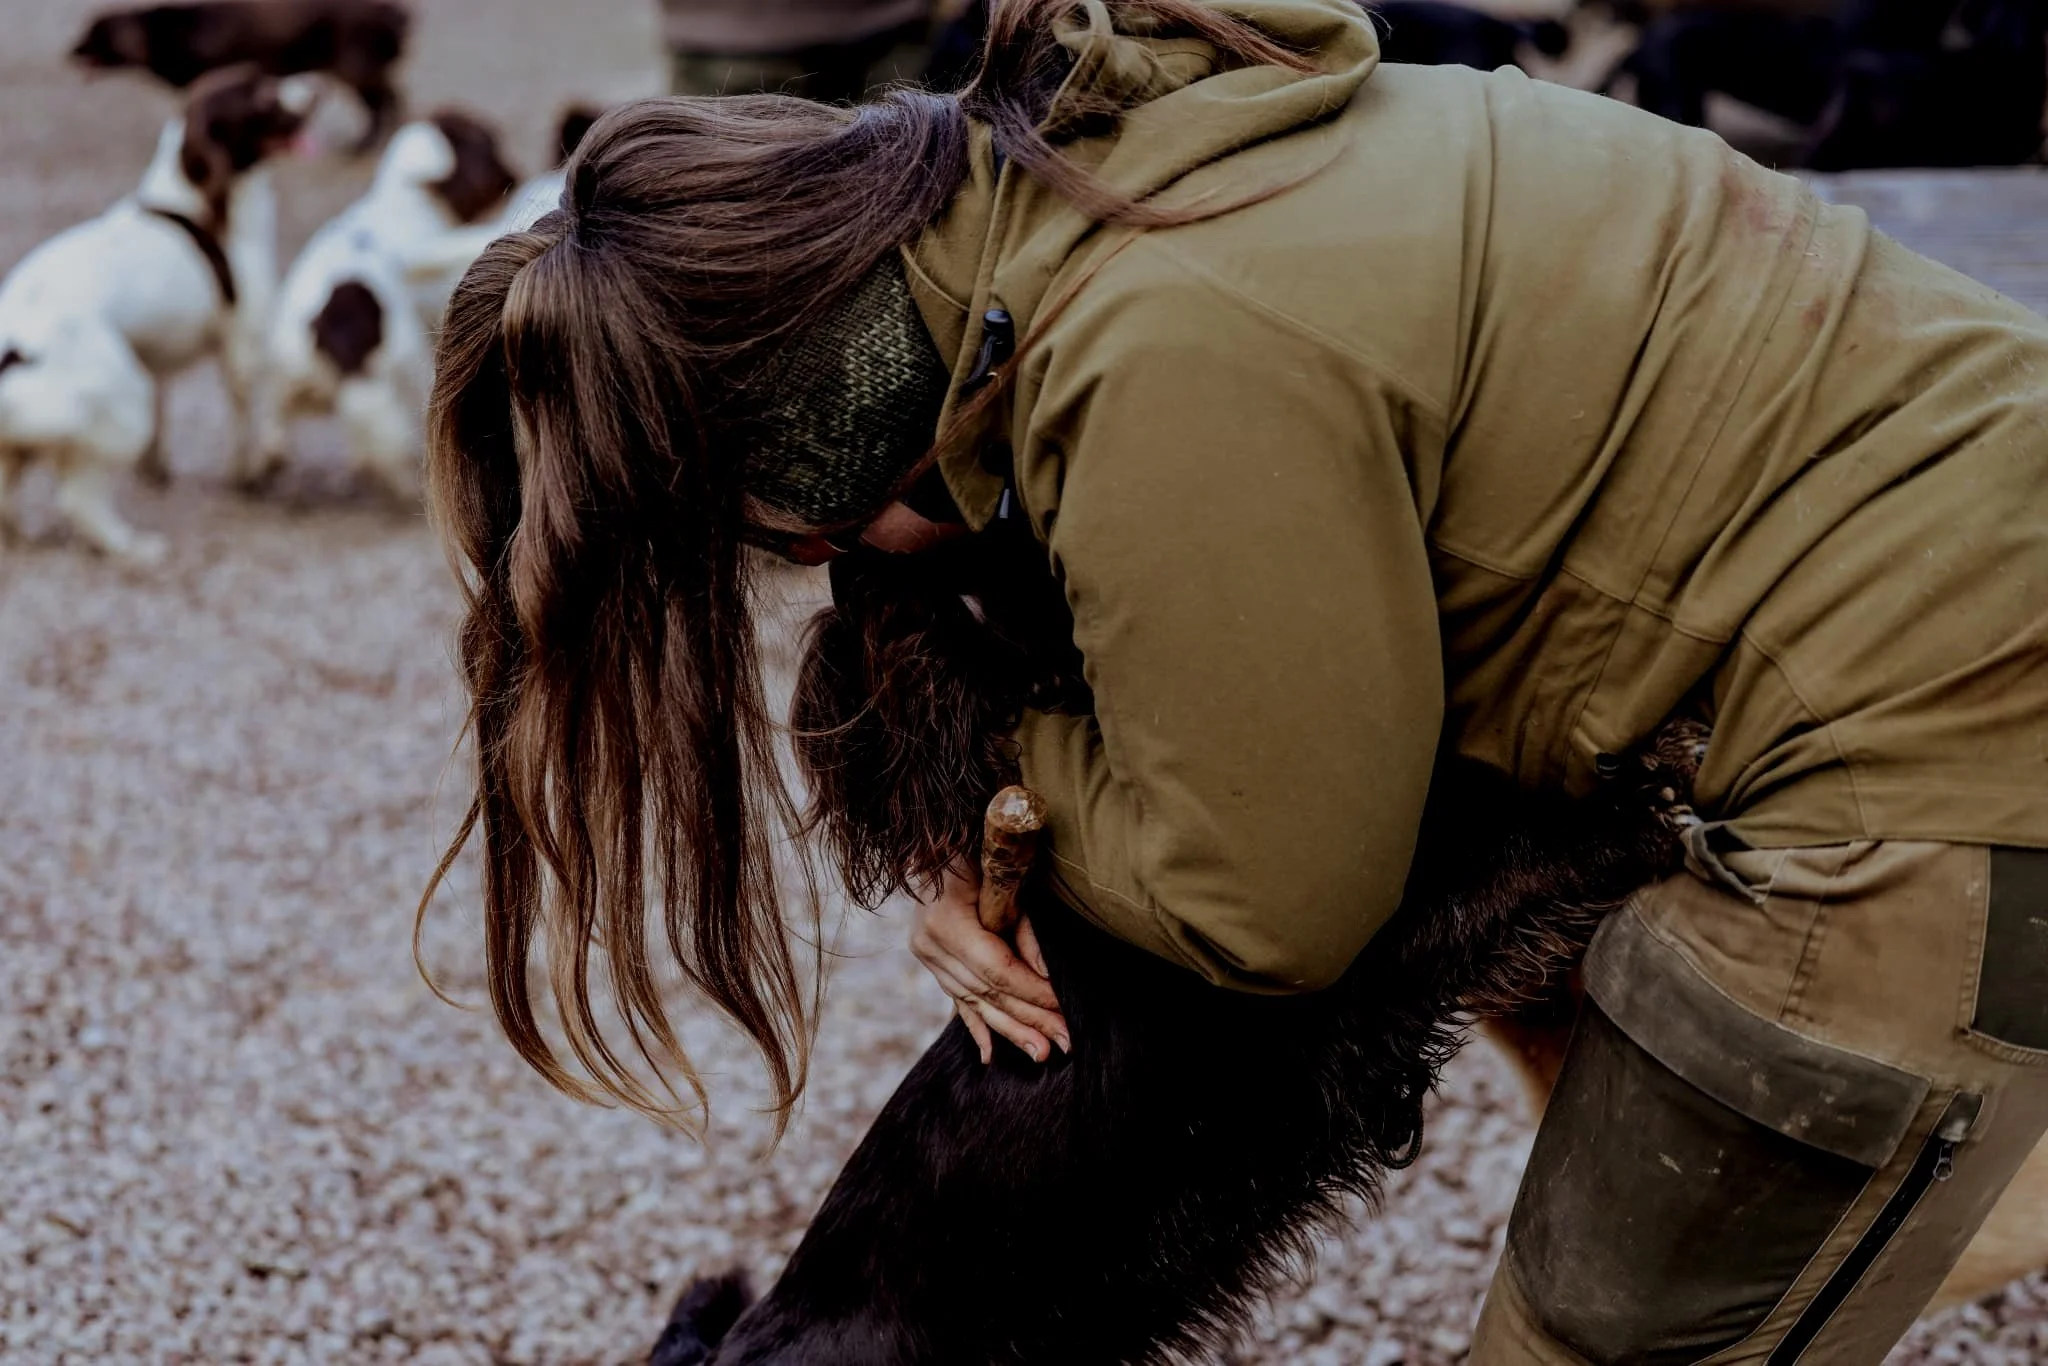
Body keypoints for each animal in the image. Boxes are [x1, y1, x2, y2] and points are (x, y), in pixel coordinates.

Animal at [0, 67, 315, 562]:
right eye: (262, 93)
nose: (318, 84)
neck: (194, 202)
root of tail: (16, 351)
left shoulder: (155, 358)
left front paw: (158, 470)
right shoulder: (242, 347)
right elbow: (249, 420)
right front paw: (253, 472)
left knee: (7, 490)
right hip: (126, 400)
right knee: (78, 499)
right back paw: (133, 547)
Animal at [72, 0, 409, 151]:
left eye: (94, 35)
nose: (69, 52)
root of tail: (395, 13)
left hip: (355, 70)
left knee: (383, 103)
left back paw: (366, 143)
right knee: (391, 98)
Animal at [251, 110, 514, 497]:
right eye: (490, 144)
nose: (513, 174)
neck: (402, 198)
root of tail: (323, 322)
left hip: (292, 377)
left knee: (278, 420)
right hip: (402, 361)